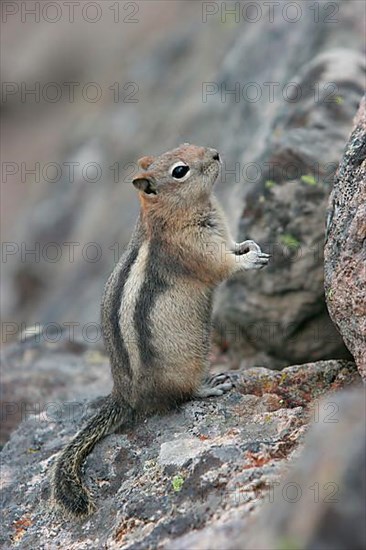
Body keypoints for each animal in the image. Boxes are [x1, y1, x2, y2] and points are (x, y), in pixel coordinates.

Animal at [50, 142, 268, 516]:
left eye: (188, 145)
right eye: (180, 170)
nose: (216, 154)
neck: (169, 212)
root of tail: (124, 395)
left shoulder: (221, 235)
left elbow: (234, 245)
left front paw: (250, 245)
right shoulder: (197, 249)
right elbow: (223, 265)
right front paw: (249, 259)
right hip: (188, 364)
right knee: (181, 396)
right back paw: (210, 386)